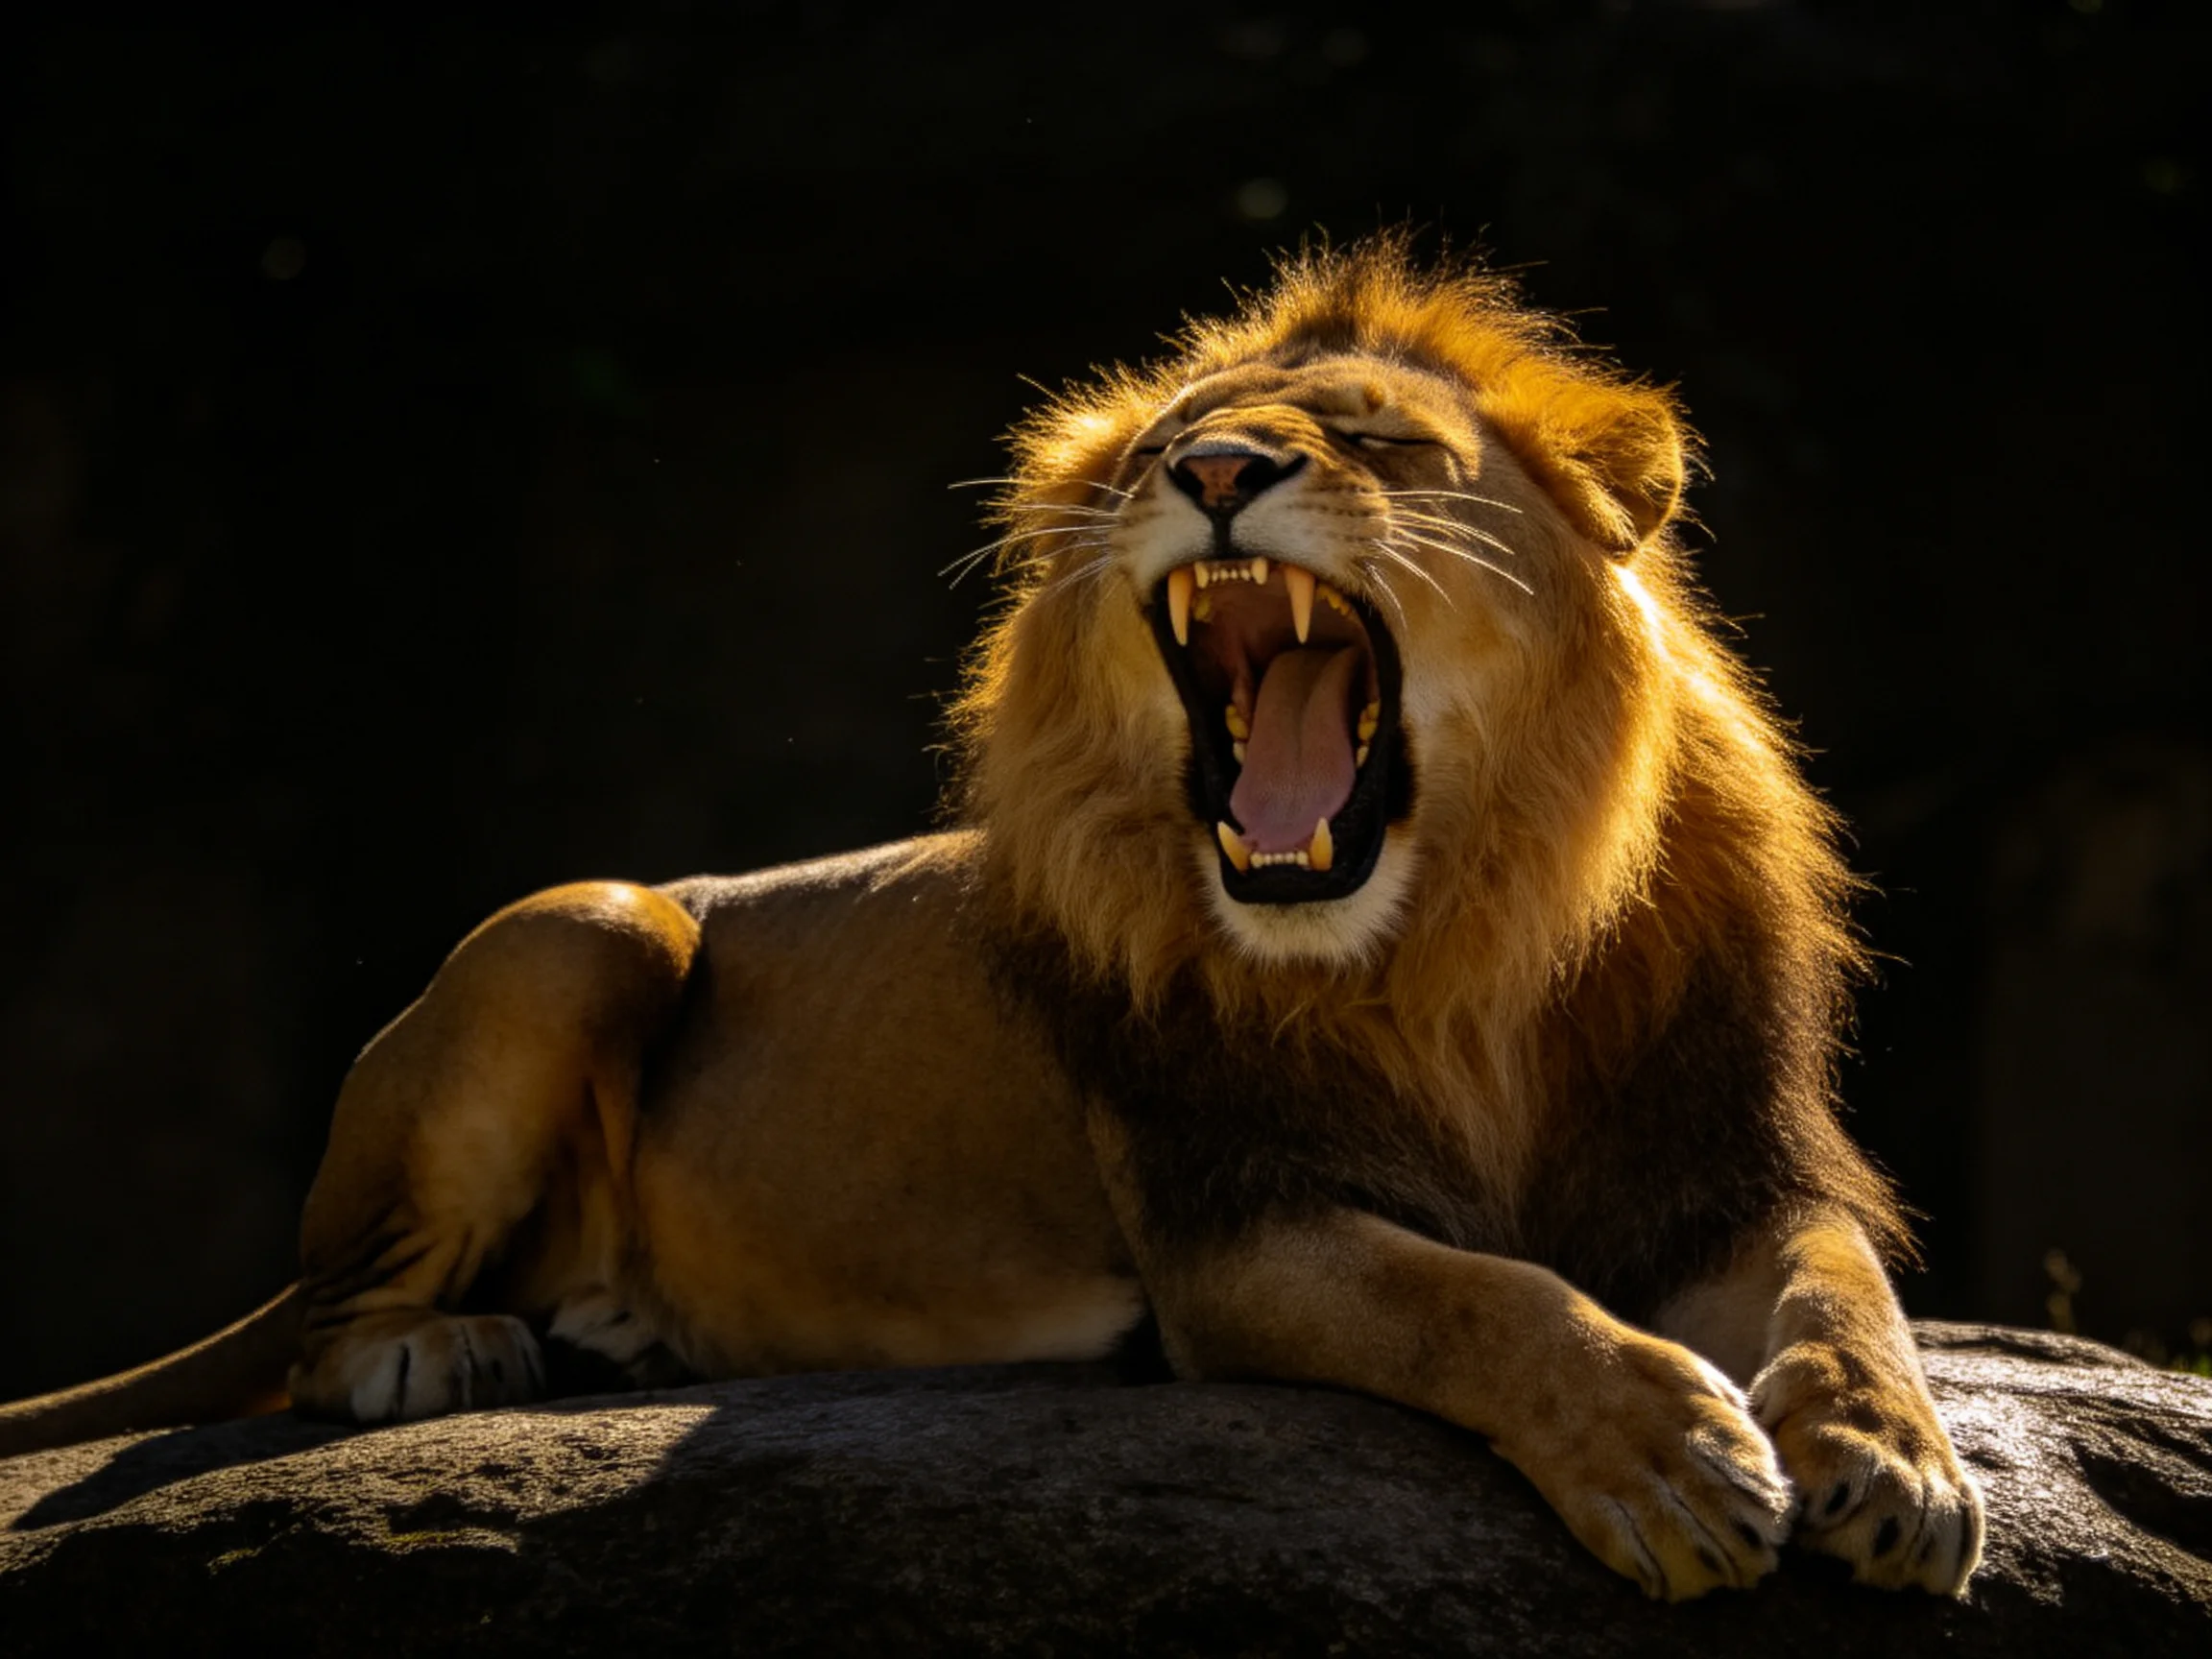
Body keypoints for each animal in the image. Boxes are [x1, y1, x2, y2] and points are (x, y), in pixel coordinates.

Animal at [0, 239, 1982, 1601]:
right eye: (1170, 444)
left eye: (1374, 441)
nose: (1216, 475)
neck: (1446, 947)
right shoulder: (1228, 1224)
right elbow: (1475, 1297)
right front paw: (1668, 1455)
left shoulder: (1725, 1158)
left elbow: (1842, 1289)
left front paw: (1893, 1461)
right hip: (591, 922)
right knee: (317, 1322)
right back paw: (445, 1344)